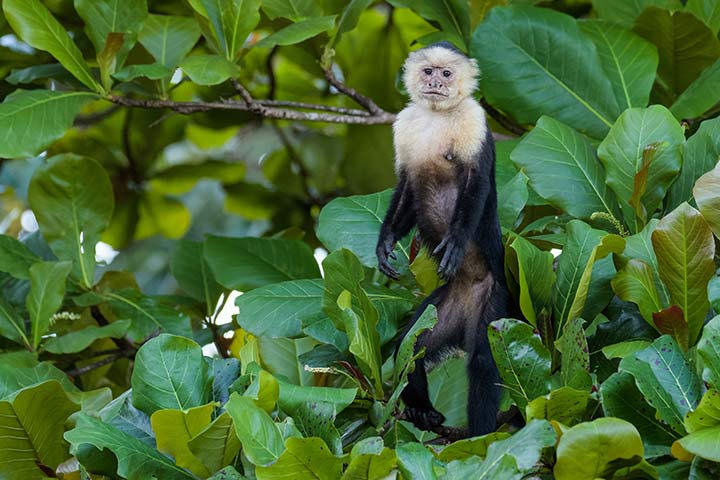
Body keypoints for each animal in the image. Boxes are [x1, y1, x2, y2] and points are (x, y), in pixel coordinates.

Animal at [374, 42, 510, 438]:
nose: (435, 83)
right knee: (412, 346)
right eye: (429, 71)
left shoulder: (474, 119)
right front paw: (385, 243)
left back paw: (480, 436)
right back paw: (422, 410)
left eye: (447, 74)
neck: (436, 116)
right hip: (445, 307)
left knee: (482, 360)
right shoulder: (404, 125)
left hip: (493, 297)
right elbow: (406, 184)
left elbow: (475, 184)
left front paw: (455, 243)